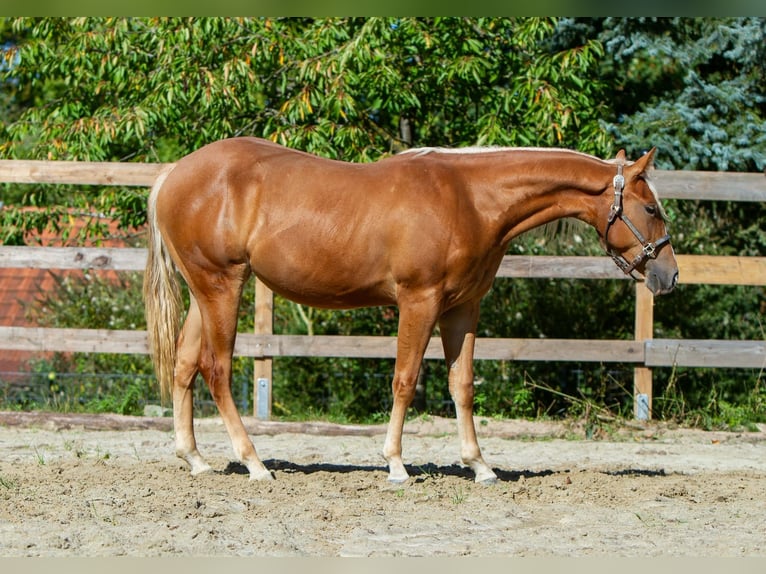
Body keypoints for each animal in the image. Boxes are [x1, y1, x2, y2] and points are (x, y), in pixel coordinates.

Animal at [143, 137, 678, 484]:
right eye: (651, 208)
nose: (668, 276)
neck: (472, 198)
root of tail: (173, 174)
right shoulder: (419, 301)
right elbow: (405, 378)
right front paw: (396, 464)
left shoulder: (463, 309)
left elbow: (462, 385)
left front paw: (480, 466)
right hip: (222, 286)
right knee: (216, 369)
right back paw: (255, 464)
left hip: (207, 292)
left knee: (185, 365)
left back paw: (194, 459)